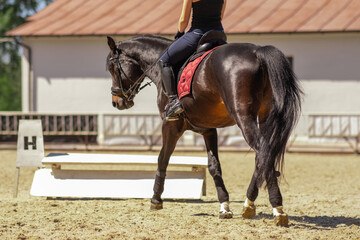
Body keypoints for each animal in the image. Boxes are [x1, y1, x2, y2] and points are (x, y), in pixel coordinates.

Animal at [106, 34, 300, 226]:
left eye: (111, 67)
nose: (116, 102)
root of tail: (257, 52)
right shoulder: (208, 130)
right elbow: (214, 166)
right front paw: (224, 206)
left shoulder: (171, 125)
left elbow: (162, 159)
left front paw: (156, 199)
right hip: (264, 118)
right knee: (263, 156)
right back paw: (249, 205)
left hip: (244, 118)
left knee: (263, 153)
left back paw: (277, 208)